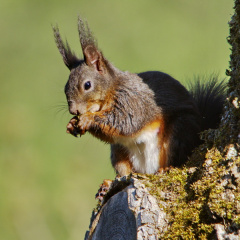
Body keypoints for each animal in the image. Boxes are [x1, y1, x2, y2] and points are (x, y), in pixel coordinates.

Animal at [52, 17, 225, 176]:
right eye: (65, 87)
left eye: (87, 85)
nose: (73, 110)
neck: (112, 89)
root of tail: (148, 170)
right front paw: (71, 124)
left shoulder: (132, 101)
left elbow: (124, 122)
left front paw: (88, 119)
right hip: (119, 152)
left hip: (178, 132)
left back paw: (165, 169)